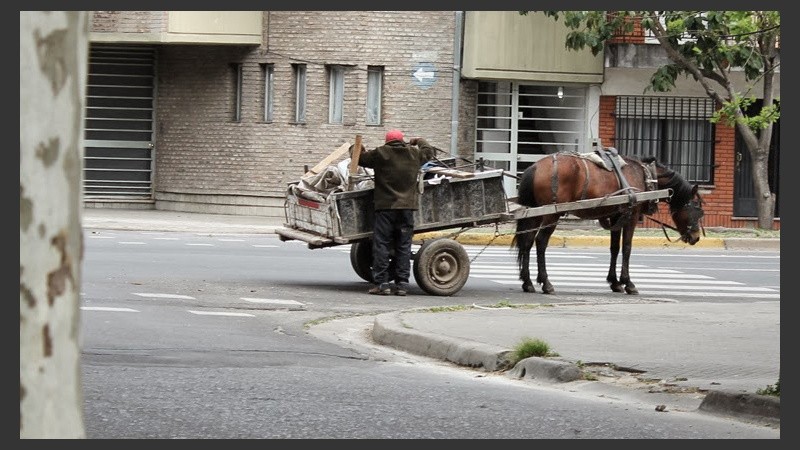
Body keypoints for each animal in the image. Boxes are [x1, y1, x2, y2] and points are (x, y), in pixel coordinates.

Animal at [511, 150, 705, 295]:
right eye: (697, 207)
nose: (696, 237)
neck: (646, 176)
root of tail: (535, 166)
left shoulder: (616, 216)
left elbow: (614, 248)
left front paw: (615, 282)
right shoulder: (631, 216)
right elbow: (627, 248)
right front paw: (628, 283)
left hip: (535, 212)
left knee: (527, 242)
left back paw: (527, 282)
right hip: (552, 214)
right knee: (540, 242)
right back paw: (546, 282)